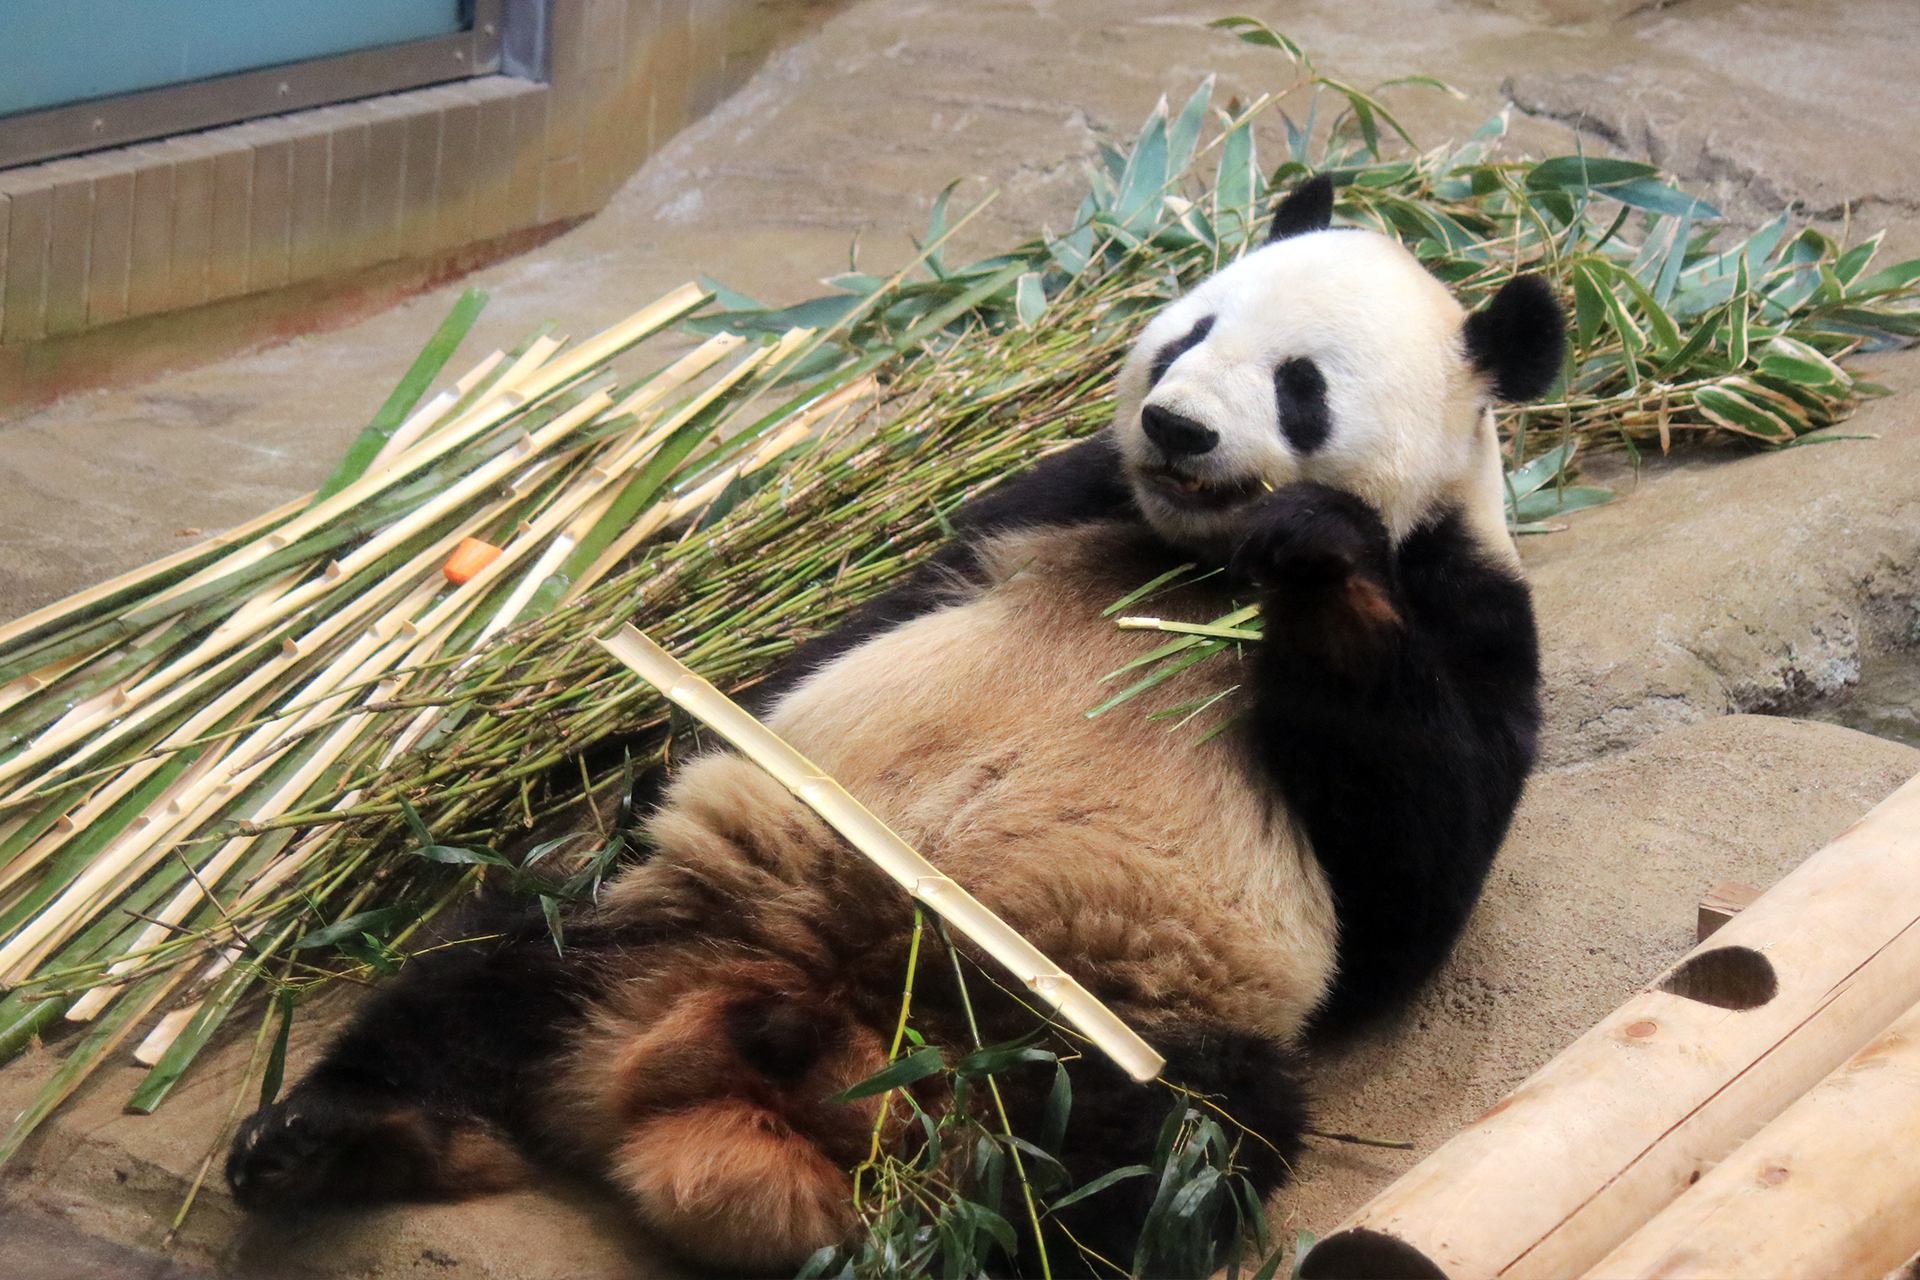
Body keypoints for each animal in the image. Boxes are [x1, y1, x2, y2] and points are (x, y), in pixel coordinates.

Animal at [224, 175, 1559, 1274]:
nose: (1177, 426)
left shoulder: (1469, 604)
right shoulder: (1052, 504)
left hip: (1098, 1032)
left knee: (1152, 1153)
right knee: (488, 959)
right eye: (1193, 331)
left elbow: (1409, 886)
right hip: (659, 898)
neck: (1196, 558)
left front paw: (1323, 556)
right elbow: (864, 623)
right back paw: (338, 1134)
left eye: (1303, 385)